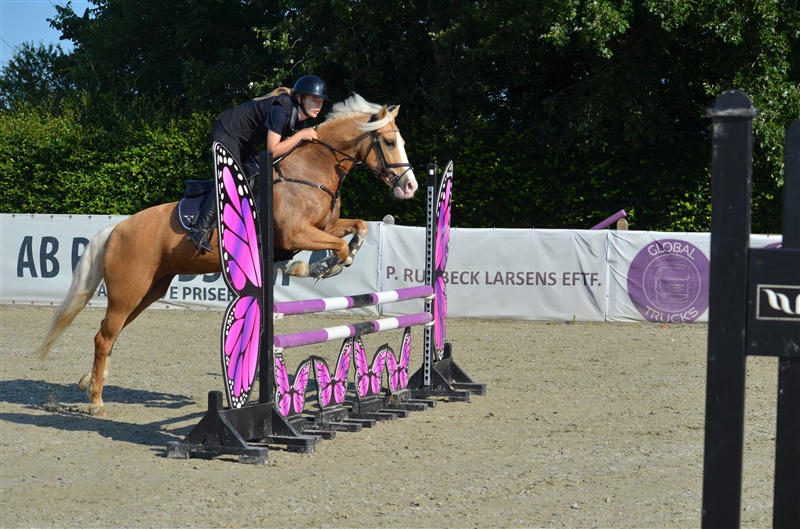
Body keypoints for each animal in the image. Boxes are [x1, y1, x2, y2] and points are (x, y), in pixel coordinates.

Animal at [36, 93, 418, 415]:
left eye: (401, 141)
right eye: (388, 142)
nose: (410, 187)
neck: (311, 170)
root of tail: (116, 229)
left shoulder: (326, 225)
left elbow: (360, 228)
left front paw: (329, 261)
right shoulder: (296, 233)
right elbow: (335, 247)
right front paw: (316, 267)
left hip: (147, 291)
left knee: (109, 333)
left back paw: (88, 383)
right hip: (129, 290)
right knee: (104, 335)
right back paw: (97, 401)